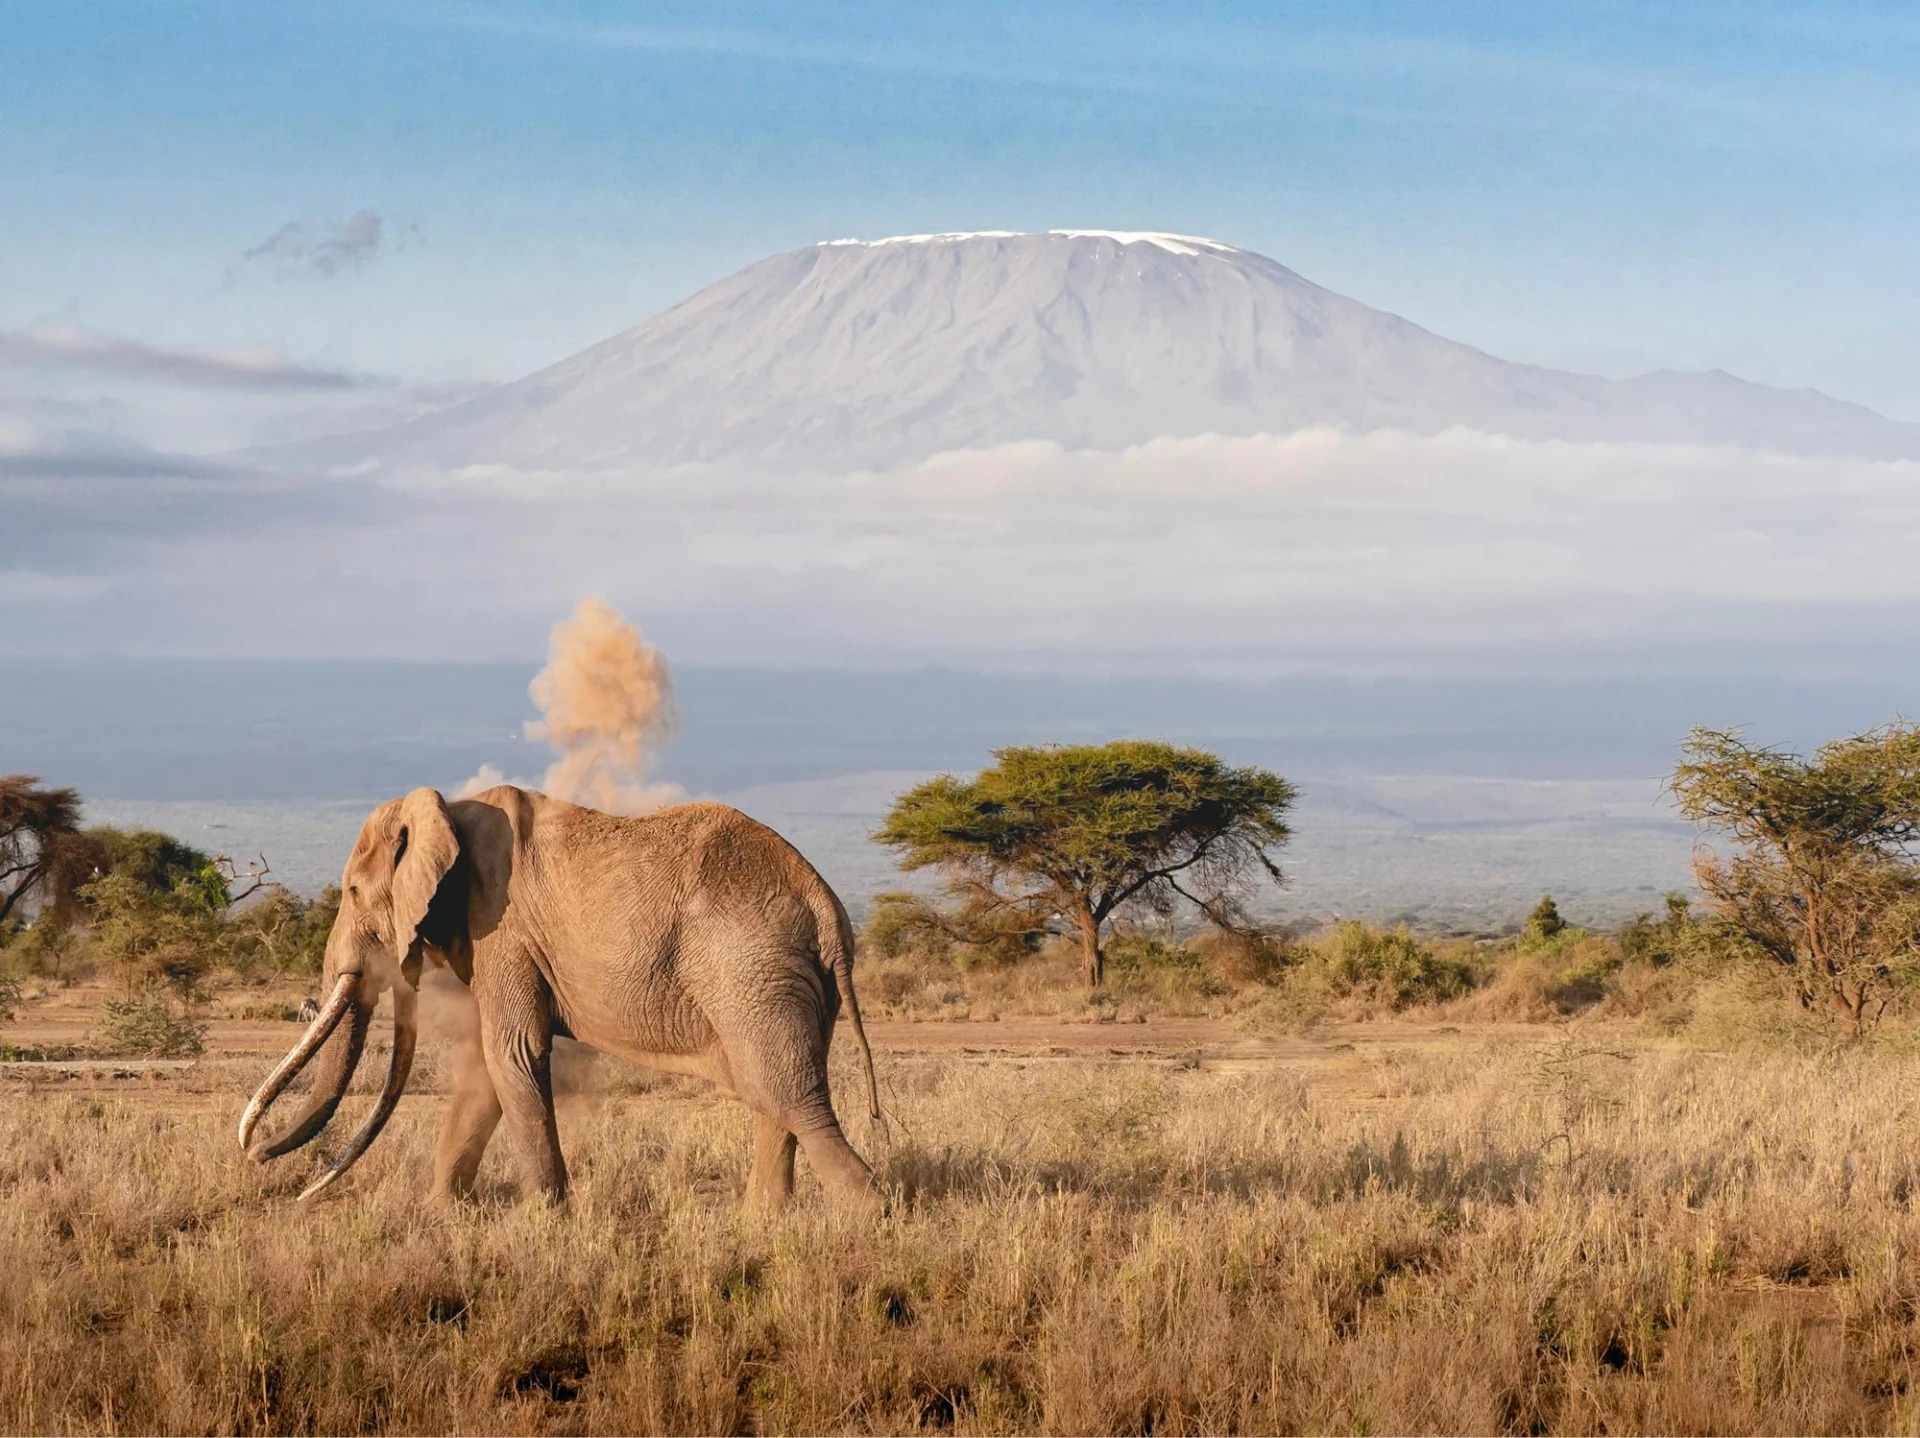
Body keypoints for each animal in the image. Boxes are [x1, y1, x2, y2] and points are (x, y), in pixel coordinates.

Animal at [239, 784, 881, 1213]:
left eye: (351, 890)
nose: (261, 1161)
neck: (448, 810)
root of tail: (824, 903)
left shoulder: (502, 930)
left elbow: (513, 1053)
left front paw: (544, 1222)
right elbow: (489, 1067)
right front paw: (440, 1215)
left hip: (752, 971)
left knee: (790, 1096)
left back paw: (868, 1216)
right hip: (784, 980)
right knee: (773, 1092)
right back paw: (761, 1225)